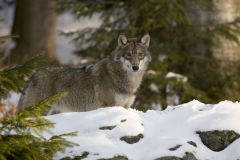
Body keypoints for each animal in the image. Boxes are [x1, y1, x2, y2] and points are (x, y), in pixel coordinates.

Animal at [16, 33, 151, 115]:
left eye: (140, 55)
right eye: (128, 54)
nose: (135, 67)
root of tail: (33, 75)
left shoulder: (125, 107)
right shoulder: (107, 106)